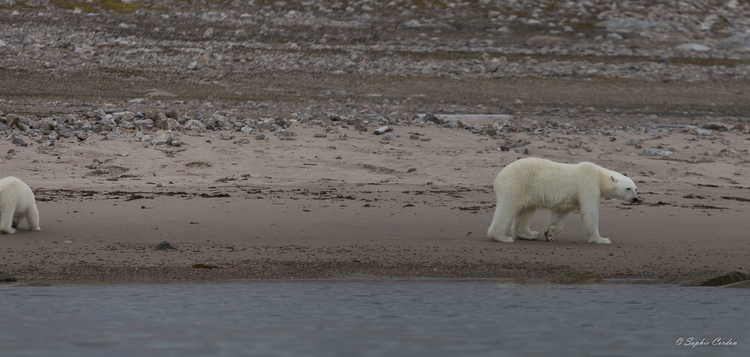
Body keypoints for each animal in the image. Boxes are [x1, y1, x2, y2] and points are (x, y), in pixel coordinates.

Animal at [488, 157, 640, 243]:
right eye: (628, 188)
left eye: (636, 188)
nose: (635, 199)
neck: (599, 174)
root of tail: (499, 175)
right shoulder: (587, 183)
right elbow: (590, 212)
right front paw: (601, 239)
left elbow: (559, 215)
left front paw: (549, 233)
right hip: (516, 184)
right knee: (507, 208)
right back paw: (502, 237)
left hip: (527, 190)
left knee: (526, 210)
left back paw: (530, 234)